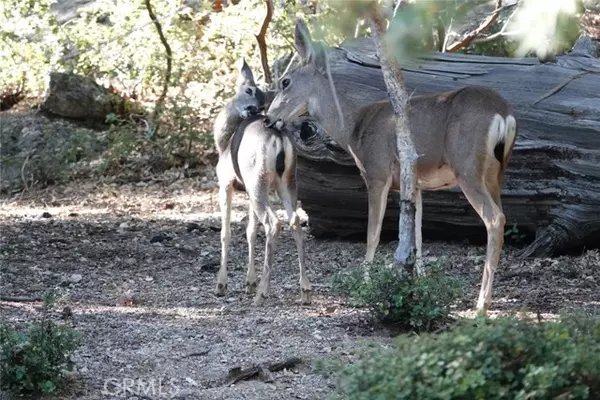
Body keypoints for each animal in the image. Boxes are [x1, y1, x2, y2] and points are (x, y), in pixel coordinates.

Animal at [213, 57, 312, 306]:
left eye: (260, 102)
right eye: (248, 90)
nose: (252, 109)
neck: (222, 142)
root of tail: (278, 138)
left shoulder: (225, 181)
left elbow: (226, 232)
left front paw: (222, 285)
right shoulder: (247, 189)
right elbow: (250, 231)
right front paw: (249, 282)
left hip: (257, 178)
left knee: (274, 223)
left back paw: (262, 293)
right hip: (286, 181)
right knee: (295, 221)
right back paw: (305, 290)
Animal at [264, 18, 516, 312]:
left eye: (285, 81)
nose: (267, 118)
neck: (354, 130)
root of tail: (503, 114)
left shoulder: (377, 172)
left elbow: (373, 233)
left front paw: (364, 285)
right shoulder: (416, 182)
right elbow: (416, 235)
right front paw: (420, 283)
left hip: (467, 165)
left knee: (495, 219)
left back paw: (482, 303)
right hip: (497, 171)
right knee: (501, 215)